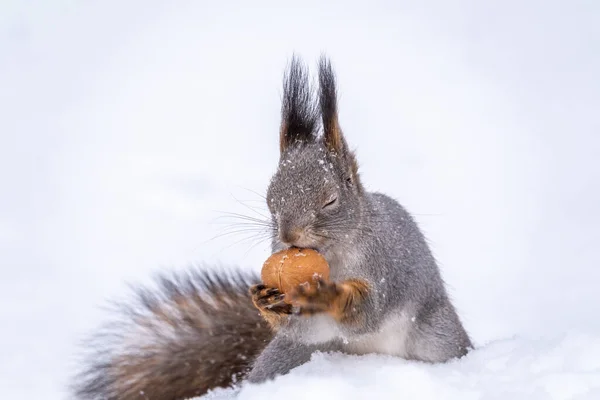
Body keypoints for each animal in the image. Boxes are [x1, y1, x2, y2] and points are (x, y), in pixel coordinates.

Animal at [71, 56, 474, 400]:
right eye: (270, 198)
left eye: (331, 199)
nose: (288, 236)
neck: (333, 255)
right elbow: (306, 328)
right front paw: (265, 299)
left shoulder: (386, 264)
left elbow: (367, 310)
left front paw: (330, 296)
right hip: (286, 357)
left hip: (438, 338)